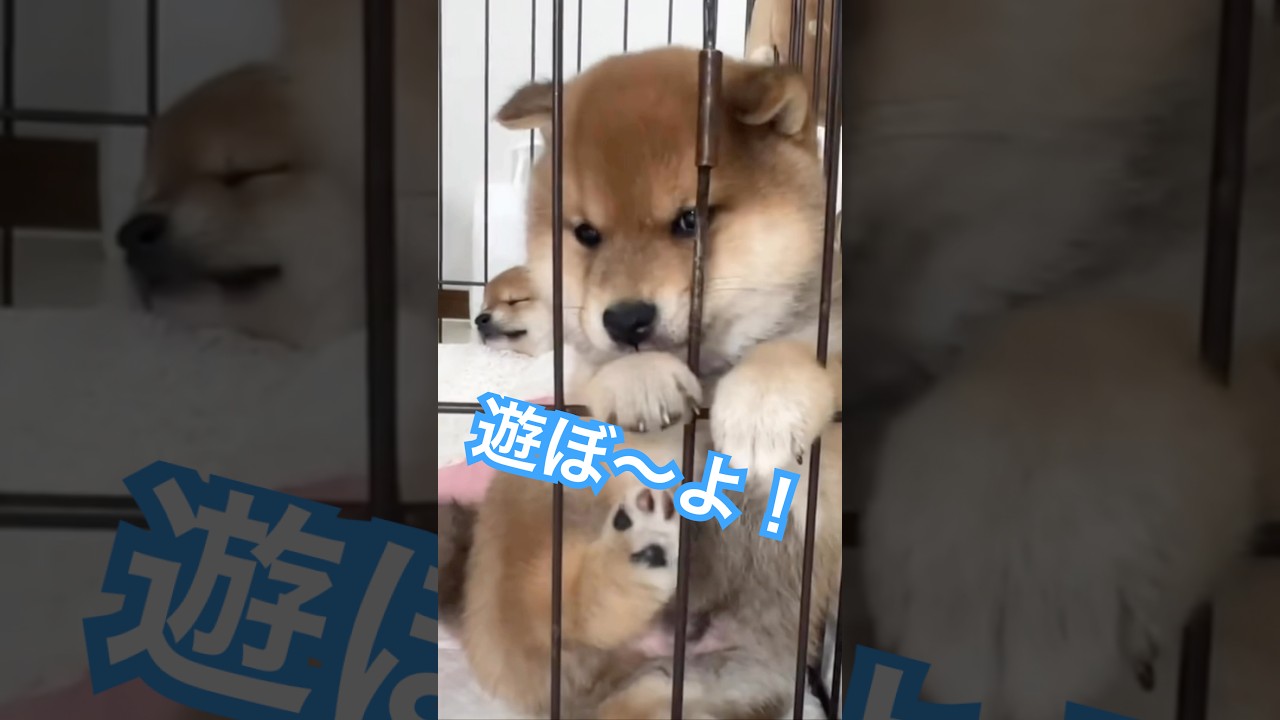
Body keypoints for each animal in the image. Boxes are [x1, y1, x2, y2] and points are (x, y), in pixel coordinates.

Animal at [456, 47, 843, 720]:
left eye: (690, 220)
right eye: (586, 234)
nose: (627, 319)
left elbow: (799, 353)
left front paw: (764, 406)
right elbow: (608, 379)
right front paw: (639, 379)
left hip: (692, 684)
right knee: (564, 606)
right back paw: (637, 555)